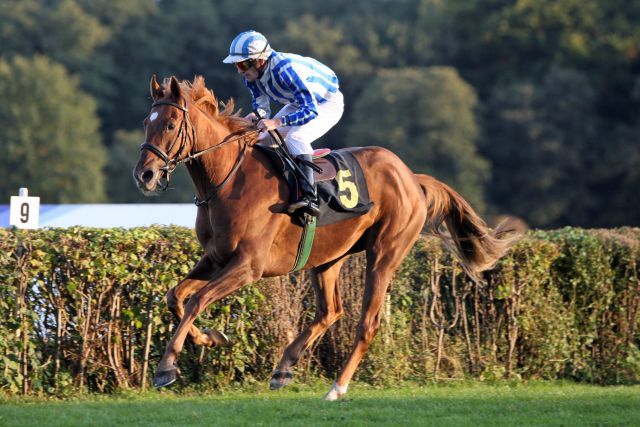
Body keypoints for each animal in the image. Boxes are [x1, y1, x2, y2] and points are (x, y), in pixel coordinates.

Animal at [132, 74, 516, 402]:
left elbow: (197, 300)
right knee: (331, 310)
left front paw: (166, 367)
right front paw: (211, 337)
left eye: (170, 124)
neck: (229, 180)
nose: (144, 175)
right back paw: (284, 367)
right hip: (329, 257)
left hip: (385, 253)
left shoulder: (248, 266)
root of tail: (411, 177)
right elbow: (176, 298)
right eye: (146, 122)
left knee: (367, 322)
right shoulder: (215, 258)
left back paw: (337, 387)